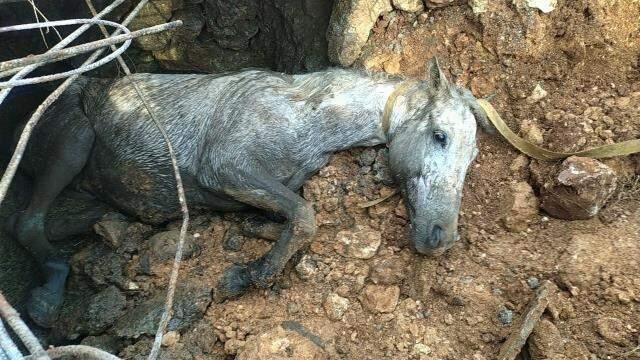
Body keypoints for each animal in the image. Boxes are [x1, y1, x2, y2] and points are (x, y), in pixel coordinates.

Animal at [7, 59, 492, 326]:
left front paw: (255, 242)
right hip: (73, 141)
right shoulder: (227, 166)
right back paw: (46, 300)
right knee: (25, 221)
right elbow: (306, 217)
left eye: (472, 158)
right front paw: (247, 275)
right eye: (440, 135)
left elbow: (290, 219)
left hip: (93, 204)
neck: (310, 121)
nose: (440, 237)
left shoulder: (266, 185)